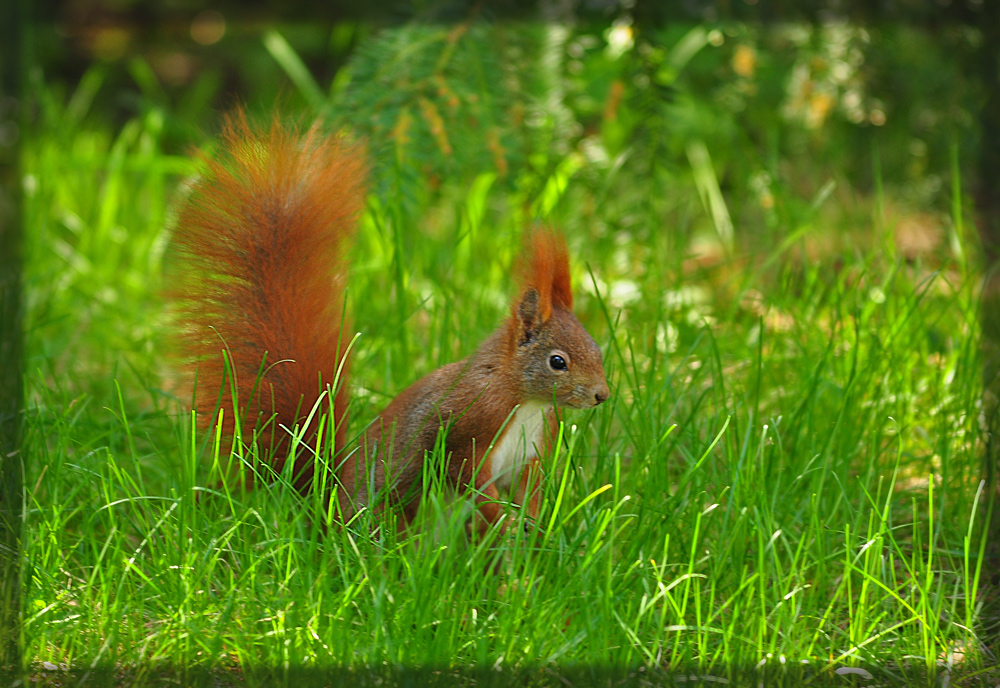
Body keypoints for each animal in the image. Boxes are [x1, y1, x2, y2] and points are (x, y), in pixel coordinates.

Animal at [170, 113, 608, 536]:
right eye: (557, 362)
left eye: (598, 349)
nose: (602, 395)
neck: (524, 397)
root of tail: (322, 509)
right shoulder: (466, 427)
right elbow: (467, 478)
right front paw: (503, 519)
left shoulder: (531, 451)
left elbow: (529, 488)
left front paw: (532, 522)